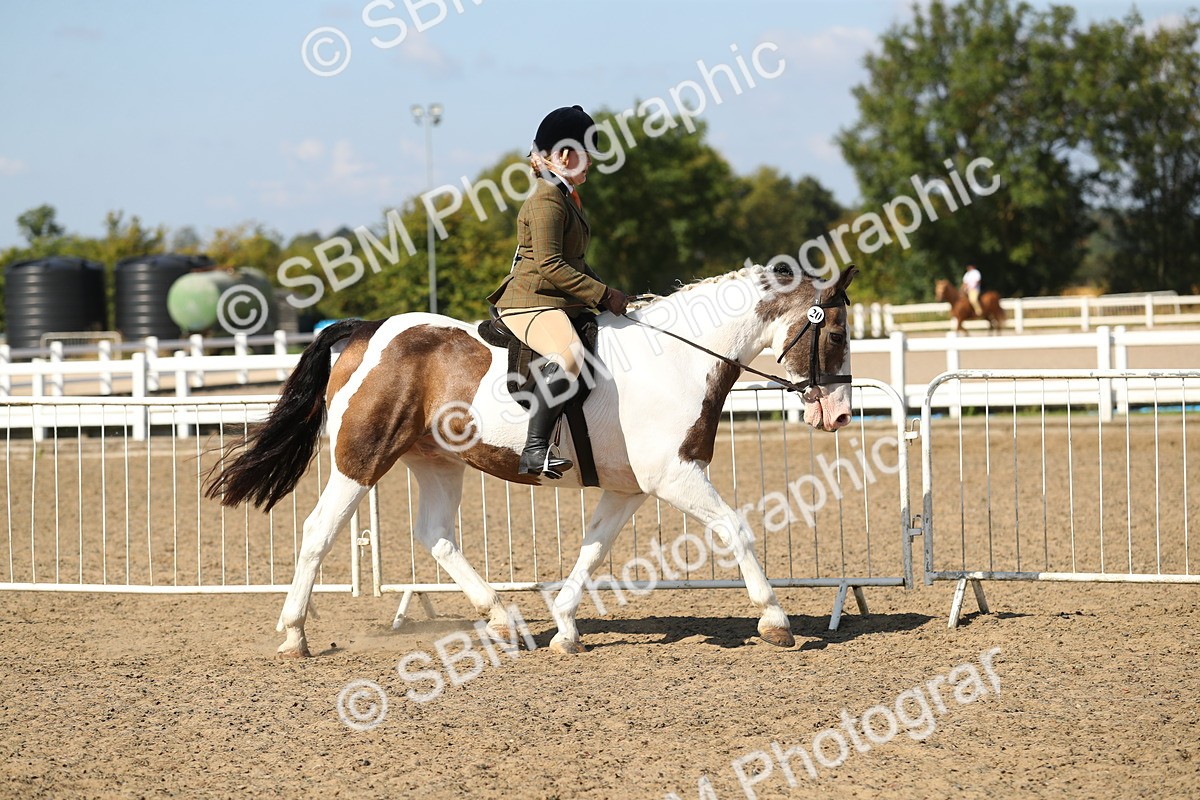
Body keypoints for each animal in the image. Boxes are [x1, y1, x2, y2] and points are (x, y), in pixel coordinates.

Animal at [204, 262, 858, 657]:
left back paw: (502, 619)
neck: (678, 357)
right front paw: (774, 620)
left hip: (436, 461)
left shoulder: (629, 488)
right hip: (360, 459)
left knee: (435, 535)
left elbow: (593, 550)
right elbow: (735, 527)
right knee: (320, 530)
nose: (839, 415)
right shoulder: (676, 477)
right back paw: (294, 636)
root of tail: (367, 330)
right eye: (837, 332)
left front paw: (565, 628)